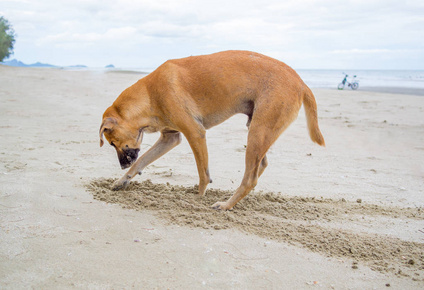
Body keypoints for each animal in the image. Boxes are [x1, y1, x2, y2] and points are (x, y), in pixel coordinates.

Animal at [99, 49, 324, 208]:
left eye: (112, 143)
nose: (122, 166)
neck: (149, 94)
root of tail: (301, 82)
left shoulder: (195, 133)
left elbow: (203, 175)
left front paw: (197, 198)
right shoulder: (170, 138)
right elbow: (142, 161)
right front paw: (122, 181)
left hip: (259, 132)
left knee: (250, 179)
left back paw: (225, 205)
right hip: (259, 131)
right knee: (260, 166)